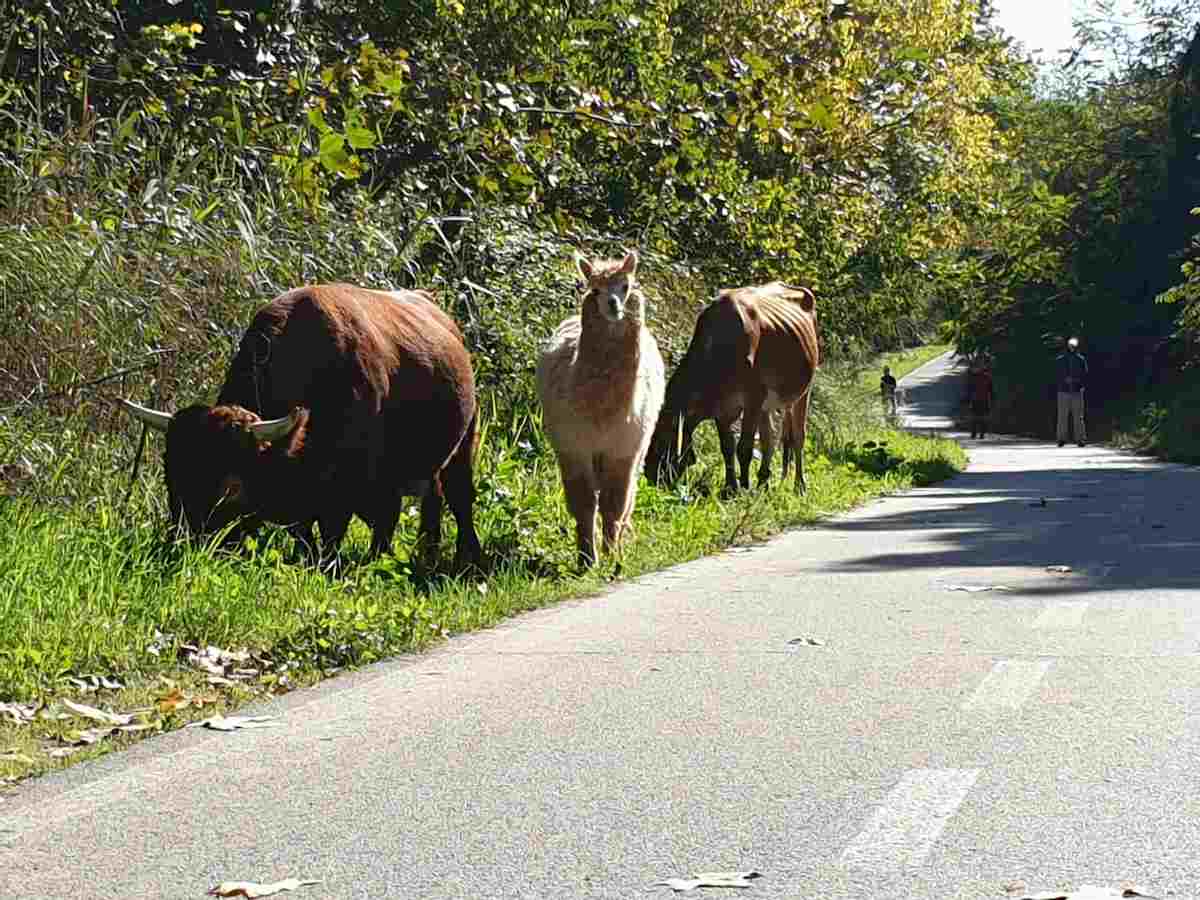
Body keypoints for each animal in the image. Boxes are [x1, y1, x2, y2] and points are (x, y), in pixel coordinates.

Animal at [119, 283, 482, 569]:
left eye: (230, 489)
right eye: (171, 477)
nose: (187, 546)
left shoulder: (356, 487)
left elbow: (344, 531)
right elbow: (305, 534)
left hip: (463, 444)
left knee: (459, 497)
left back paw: (467, 558)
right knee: (432, 499)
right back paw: (427, 554)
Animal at [645, 281, 820, 496]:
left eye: (659, 445)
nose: (652, 480)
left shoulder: (753, 398)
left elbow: (744, 447)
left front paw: (743, 487)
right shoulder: (723, 407)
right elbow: (727, 447)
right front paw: (731, 488)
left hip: (803, 391)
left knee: (798, 436)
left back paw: (799, 486)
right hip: (768, 403)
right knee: (769, 438)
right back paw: (763, 483)